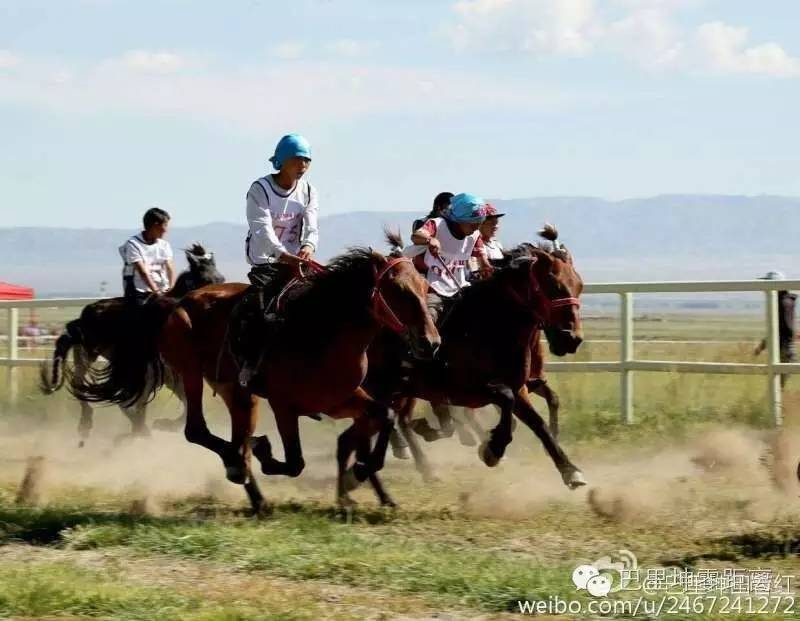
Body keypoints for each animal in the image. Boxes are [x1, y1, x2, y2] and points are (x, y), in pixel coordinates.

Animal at [40, 243, 224, 445]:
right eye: (206, 278)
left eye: (221, 278)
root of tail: (82, 317)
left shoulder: (170, 374)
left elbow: (184, 401)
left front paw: (163, 425)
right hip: (90, 354)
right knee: (82, 385)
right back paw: (88, 425)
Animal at [68, 247, 440, 513]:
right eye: (399, 290)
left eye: (425, 288)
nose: (431, 343)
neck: (323, 331)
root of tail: (176, 302)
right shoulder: (284, 405)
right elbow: (294, 461)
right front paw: (267, 452)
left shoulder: (342, 400)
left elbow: (384, 417)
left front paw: (356, 476)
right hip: (192, 374)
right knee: (198, 431)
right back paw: (238, 466)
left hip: (237, 392)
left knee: (233, 437)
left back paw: (256, 494)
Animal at [340, 228, 586, 503]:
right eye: (554, 285)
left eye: (579, 286)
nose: (572, 338)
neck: (489, 326)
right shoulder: (468, 390)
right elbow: (504, 400)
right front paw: (492, 449)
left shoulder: (520, 387)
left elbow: (538, 423)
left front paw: (570, 470)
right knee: (380, 428)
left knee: (382, 426)